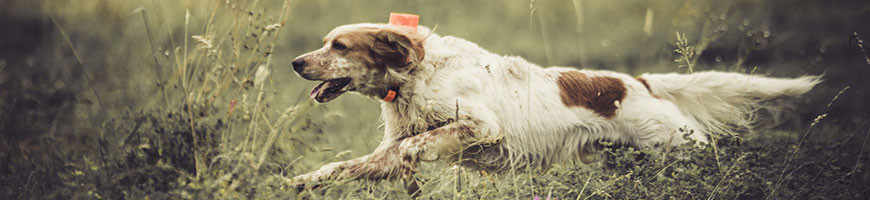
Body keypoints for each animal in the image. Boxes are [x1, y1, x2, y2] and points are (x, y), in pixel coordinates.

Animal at [290, 23, 820, 188]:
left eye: (339, 46)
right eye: (325, 42)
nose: (296, 62)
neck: (417, 74)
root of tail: (638, 83)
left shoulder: (482, 126)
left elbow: (420, 142)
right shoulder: (382, 154)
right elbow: (342, 168)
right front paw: (297, 182)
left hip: (680, 149)